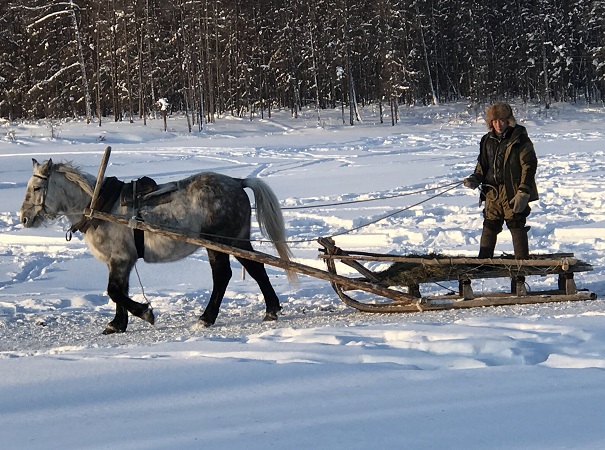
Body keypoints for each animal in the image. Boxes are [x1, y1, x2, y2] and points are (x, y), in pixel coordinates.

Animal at [22, 158, 296, 334]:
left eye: (36, 187)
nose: (24, 218)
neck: (99, 206)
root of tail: (237, 182)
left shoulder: (120, 258)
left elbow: (114, 291)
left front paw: (145, 313)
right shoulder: (119, 261)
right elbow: (119, 291)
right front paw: (117, 324)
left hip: (220, 243)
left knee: (223, 276)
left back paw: (206, 318)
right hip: (237, 240)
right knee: (256, 269)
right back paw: (271, 309)